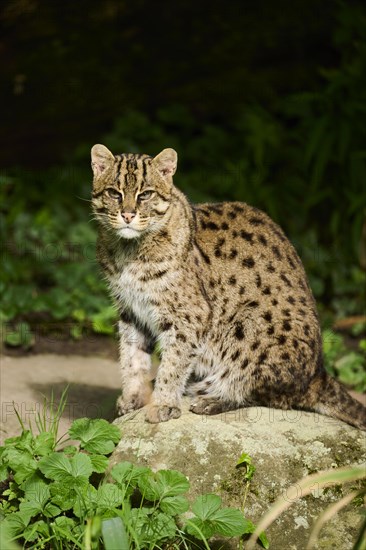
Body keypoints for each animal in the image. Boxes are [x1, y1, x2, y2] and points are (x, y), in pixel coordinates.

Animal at [91, 143, 366, 432]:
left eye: (145, 194)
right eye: (113, 193)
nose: (128, 215)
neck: (128, 250)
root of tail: (318, 374)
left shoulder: (190, 316)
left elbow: (173, 363)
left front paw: (164, 403)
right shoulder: (130, 310)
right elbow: (131, 358)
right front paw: (134, 397)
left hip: (248, 323)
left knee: (270, 395)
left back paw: (215, 398)